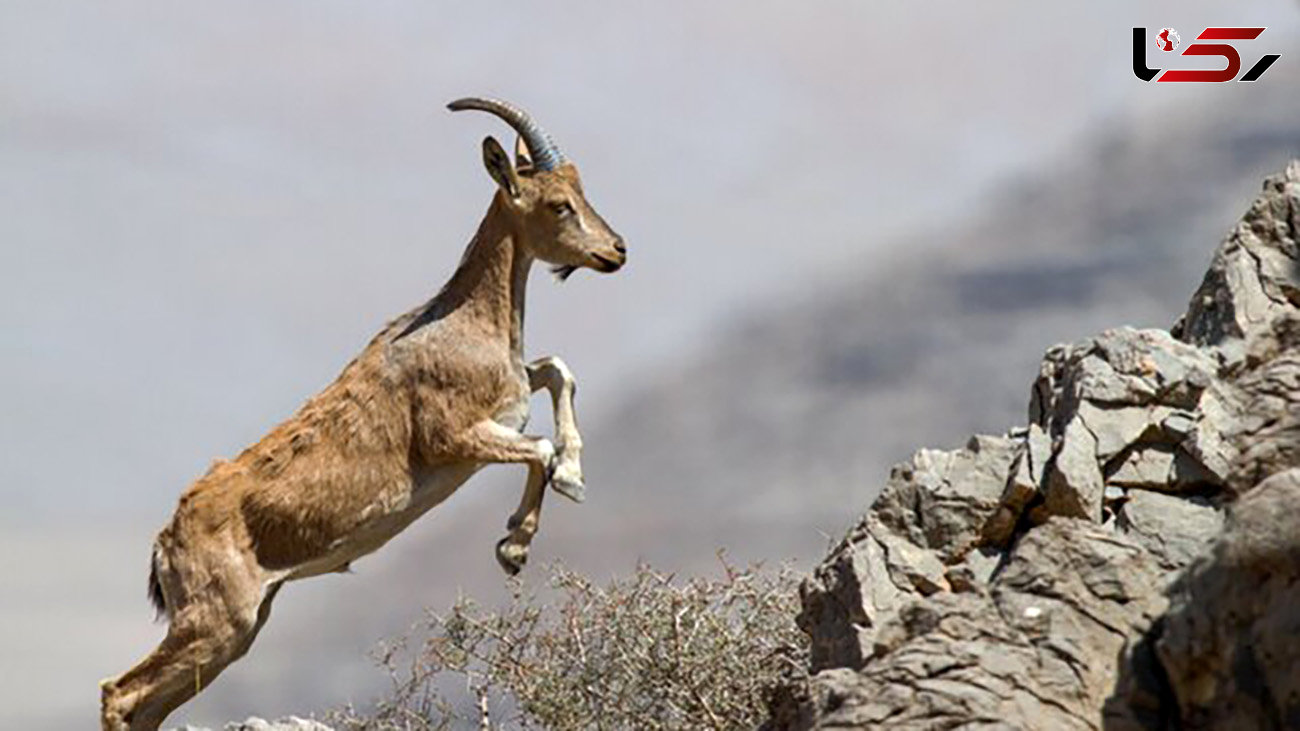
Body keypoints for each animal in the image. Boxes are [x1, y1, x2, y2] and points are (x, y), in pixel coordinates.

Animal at [100, 98, 624, 728]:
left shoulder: (508, 403)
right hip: (217, 618)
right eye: (558, 203)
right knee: (119, 692)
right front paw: (520, 541)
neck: (467, 321)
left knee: (145, 705)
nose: (617, 250)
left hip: (237, 630)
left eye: (580, 188)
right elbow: (539, 446)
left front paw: (566, 484)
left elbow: (556, 371)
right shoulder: (455, 436)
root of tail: (164, 543)